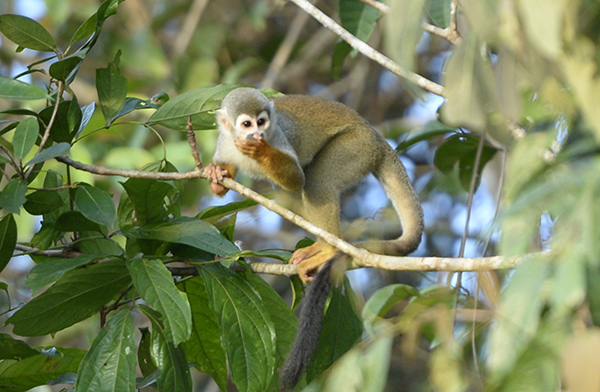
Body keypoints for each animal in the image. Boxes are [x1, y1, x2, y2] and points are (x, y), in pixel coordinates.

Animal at [209, 86, 424, 388]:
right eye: (247, 124)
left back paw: (329, 248)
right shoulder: (224, 142)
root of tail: (376, 136)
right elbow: (229, 175)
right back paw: (321, 244)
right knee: (289, 193)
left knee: (315, 182)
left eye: (262, 122)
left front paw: (262, 152)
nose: (258, 135)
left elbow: (295, 179)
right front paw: (216, 175)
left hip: (356, 147)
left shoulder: (279, 136)